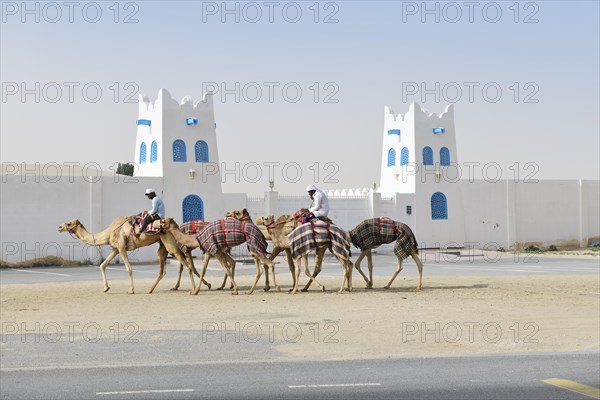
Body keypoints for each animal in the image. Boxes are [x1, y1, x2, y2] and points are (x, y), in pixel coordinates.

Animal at [58, 216, 199, 294]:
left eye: (69, 223)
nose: (59, 226)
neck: (109, 232)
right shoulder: (115, 248)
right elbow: (103, 265)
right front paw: (106, 288)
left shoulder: (121, 247)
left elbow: (129, 268)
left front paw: (131, 290)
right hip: (163, 244)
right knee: (168, 267)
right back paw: (151, 290)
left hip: (169, 242)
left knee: (185, 263)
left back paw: (193, 289)